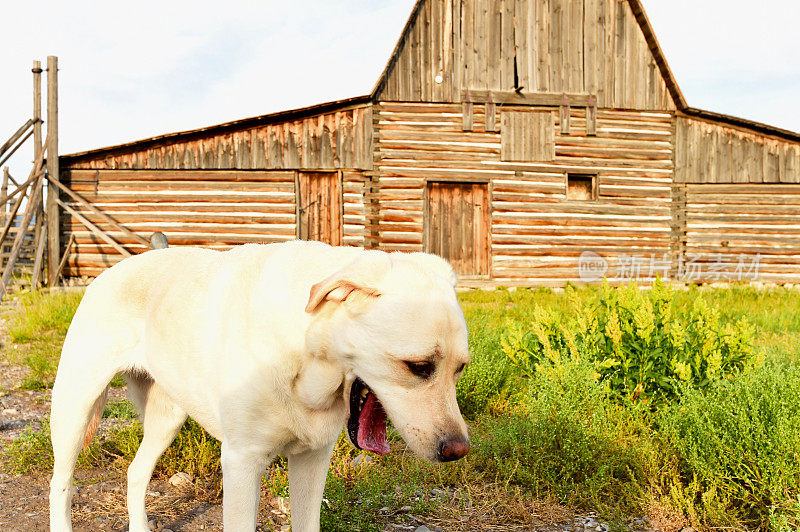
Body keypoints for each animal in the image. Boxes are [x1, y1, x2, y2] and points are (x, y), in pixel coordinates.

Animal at [48, 242, 468, 532]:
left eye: (460, 369)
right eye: (418, 367)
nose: (458, 450)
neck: (303, 355)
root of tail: (110, 270)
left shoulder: (313, 460)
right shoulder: (241, 464)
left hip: (166, 418)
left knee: (136, 472)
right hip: (73, 409)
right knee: (60, 484)